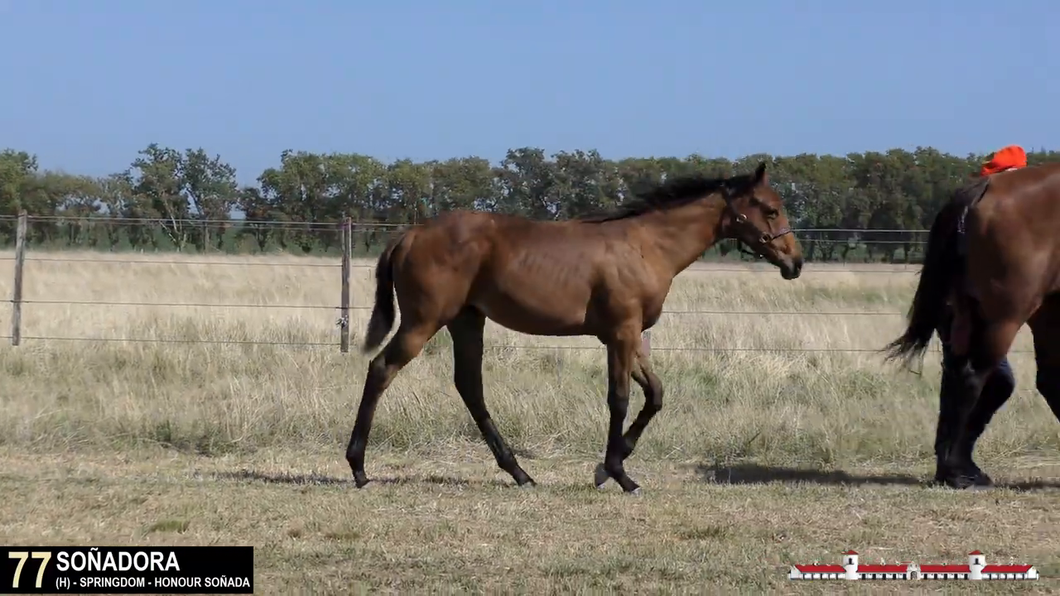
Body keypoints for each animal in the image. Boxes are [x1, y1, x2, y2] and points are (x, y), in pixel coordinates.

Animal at [347, 162, 801, 492]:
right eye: (771, 209)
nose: (795, 263)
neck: (647, 245)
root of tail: (409, 234)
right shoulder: (620, 333)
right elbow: (619, 398)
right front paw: (620, 475)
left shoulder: (630, 336)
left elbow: (654, 395)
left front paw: (607, 467)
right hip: (424, 321)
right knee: (382, 370)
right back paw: (358, 468)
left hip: (466, 320)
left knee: (469, 386)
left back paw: (520, 474)